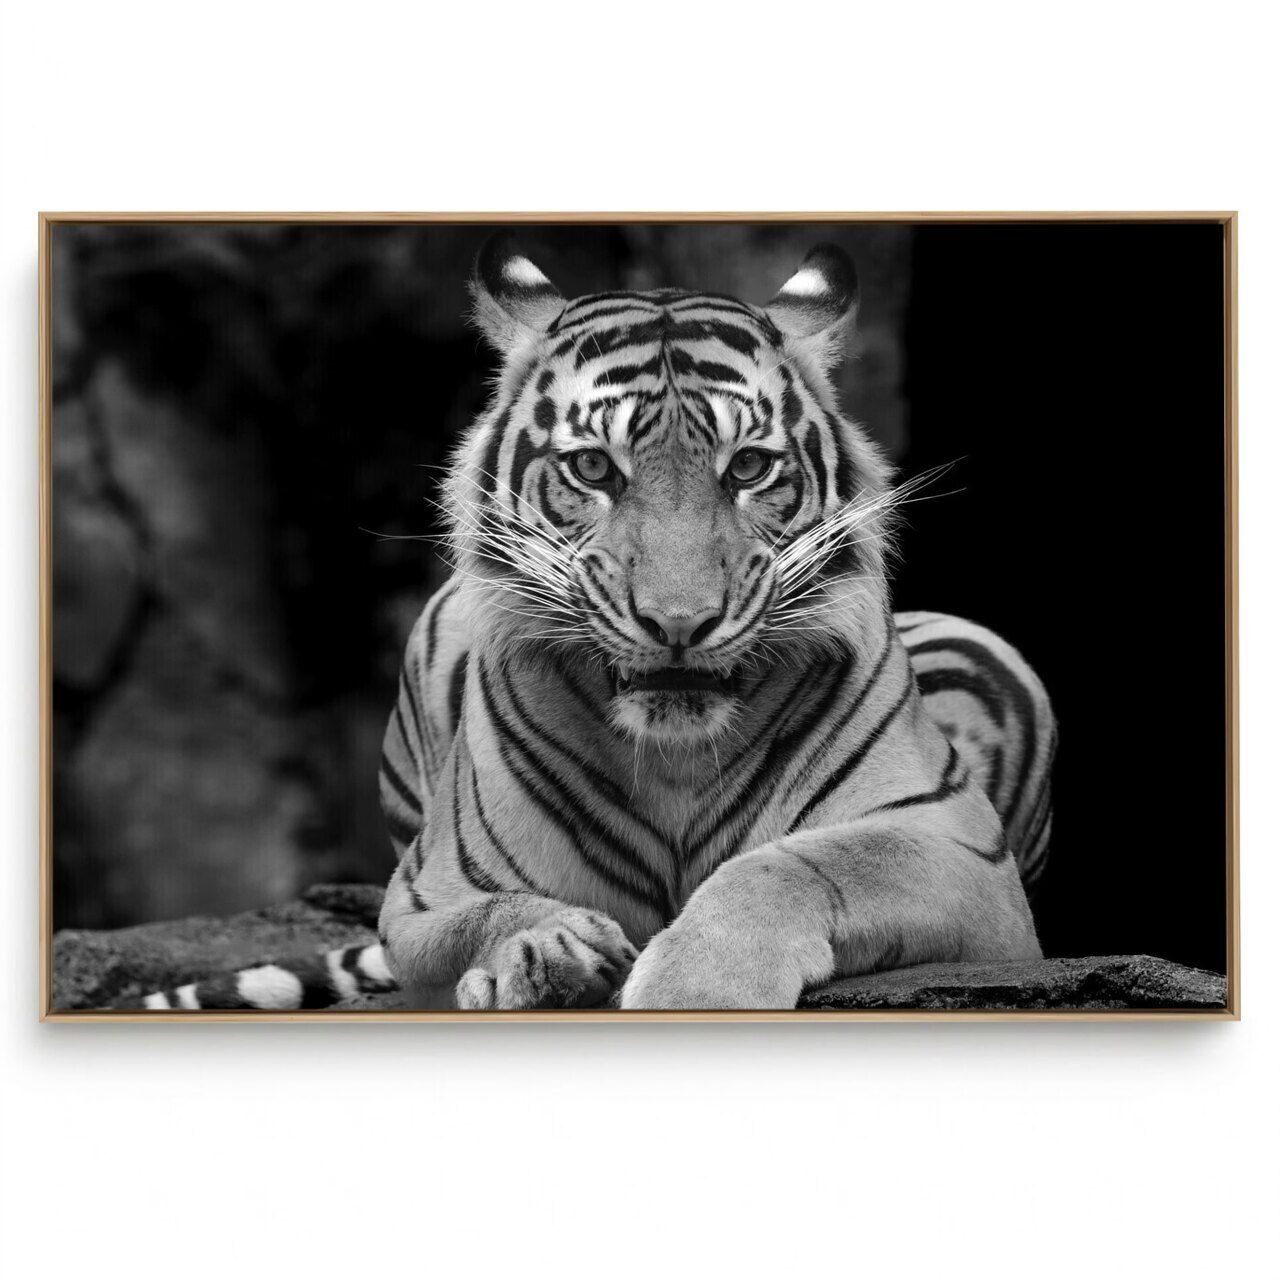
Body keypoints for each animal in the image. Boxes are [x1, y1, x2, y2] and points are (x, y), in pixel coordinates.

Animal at [141, 236, 1054, 1012]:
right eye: (592, 468)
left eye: (748, 468)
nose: (680, 621)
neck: (677, 759)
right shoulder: (424, 891)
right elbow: (482, 917)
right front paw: (544, 951)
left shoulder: (961, 852)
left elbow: (798, 867)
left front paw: (696, 986)